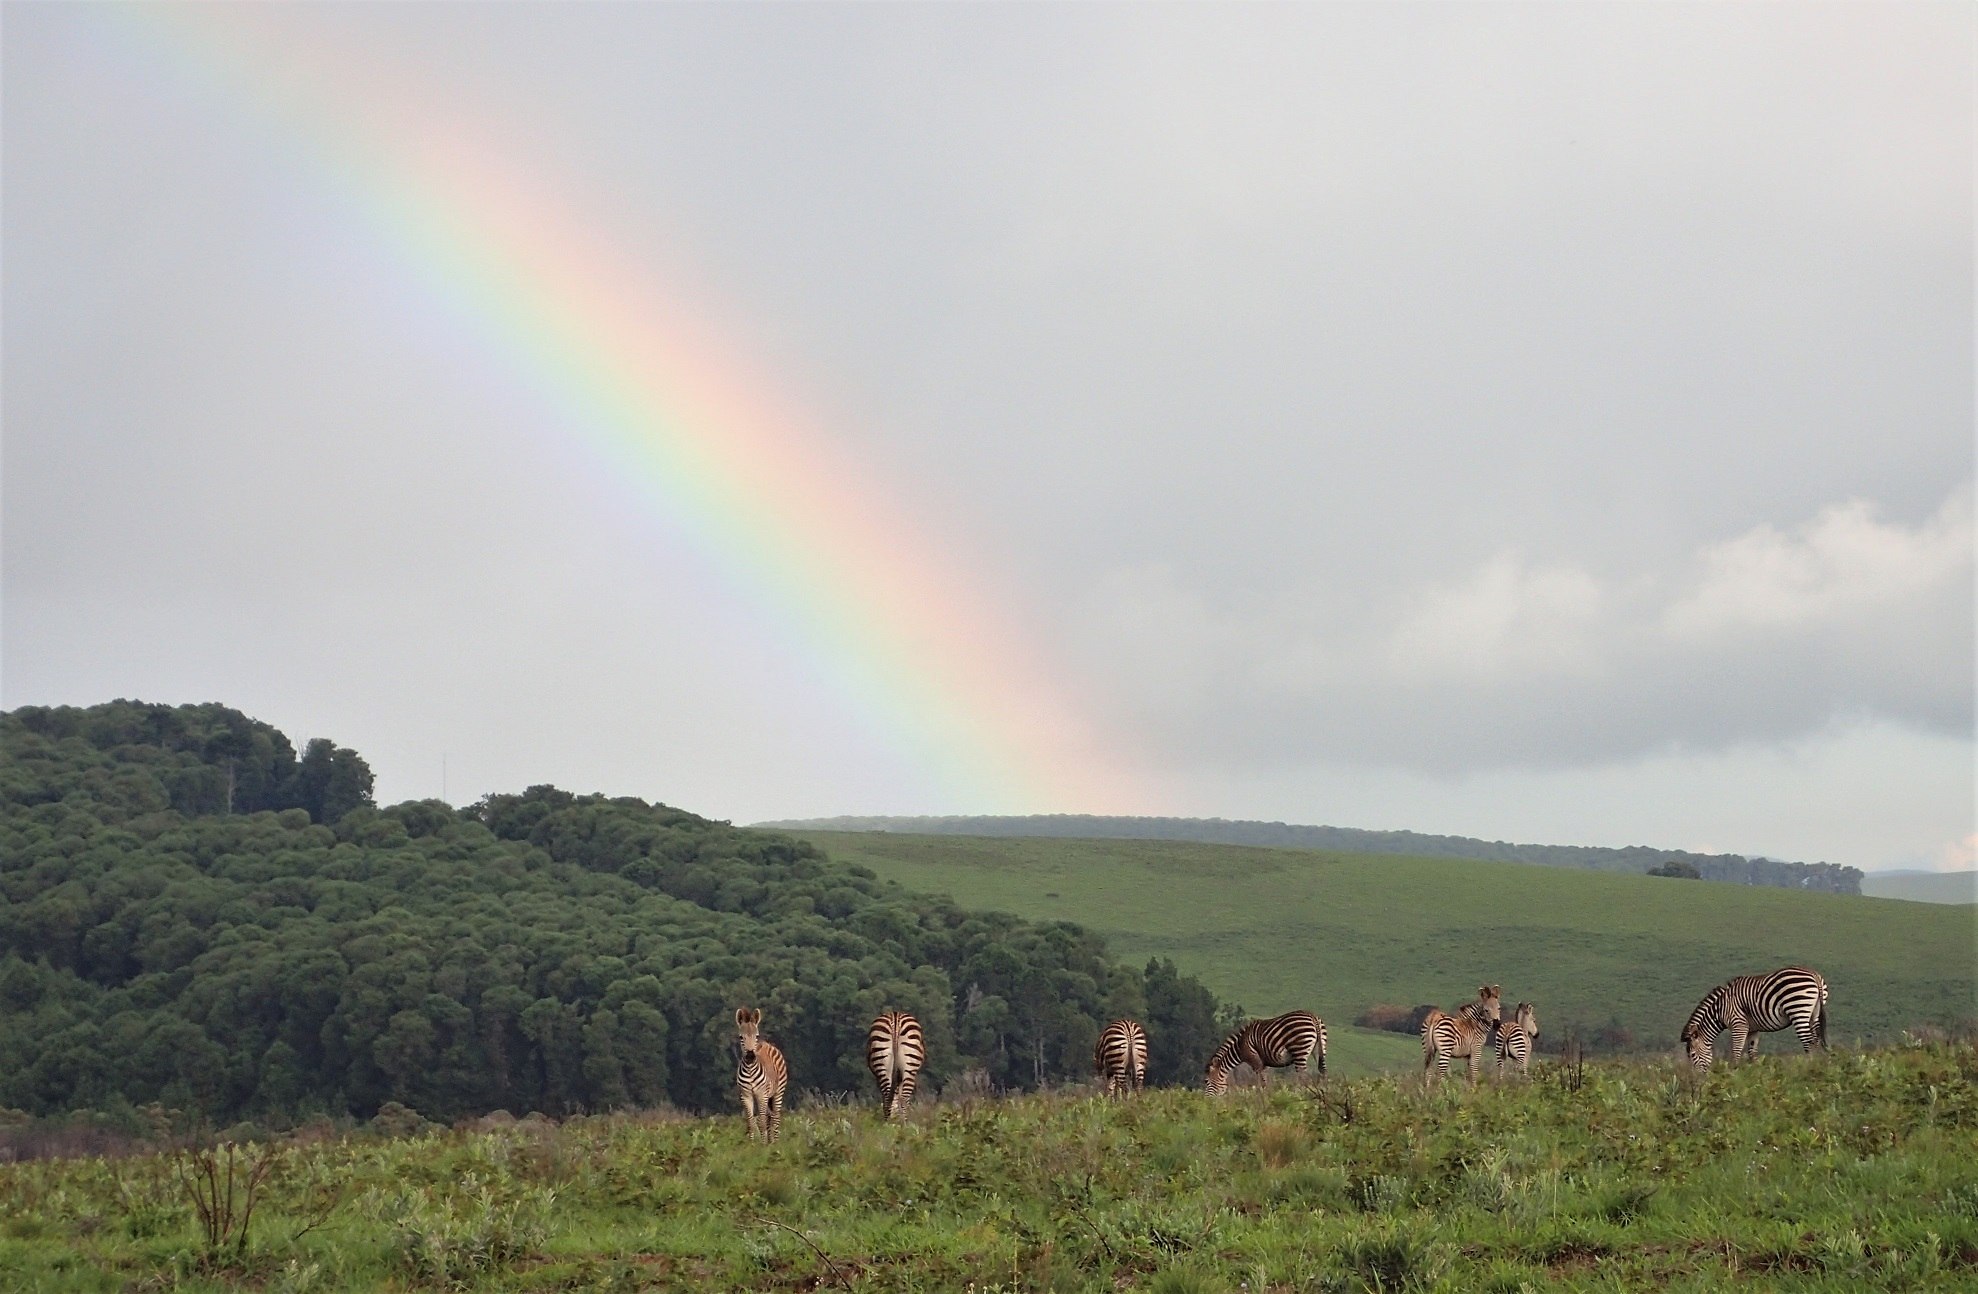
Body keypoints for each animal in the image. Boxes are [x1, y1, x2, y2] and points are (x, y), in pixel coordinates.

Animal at [734, 1007, 789, 1143]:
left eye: (756, 1036)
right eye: (741, 1037)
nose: (750, 1056)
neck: (749, 1069)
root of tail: (767, 1044)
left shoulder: (761, 1094)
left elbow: (761, 1121)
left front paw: (763, 1144)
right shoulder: (746, 1095)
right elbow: (750, 1121)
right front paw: (752, 1144)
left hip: (778, 1092)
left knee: (775, 1117)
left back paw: (775, 1142)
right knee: (770, 1117)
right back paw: (770, 1141)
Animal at [1681, 967, 1828, 1071]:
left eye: (1692, 1055)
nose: (1697, 1078)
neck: (1720, 1010)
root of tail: (1814, 974)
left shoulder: (1738, 1024)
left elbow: (1737, 1049)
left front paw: (1734, 1072)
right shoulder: (1753, 1029)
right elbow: (1752, 1051)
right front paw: (1755, 1073)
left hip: (1798, 1009)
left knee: (1808, 1040)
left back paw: (1808, 1066)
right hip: (1814, 1013)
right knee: (1816, 1039)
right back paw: (1818, 1064)